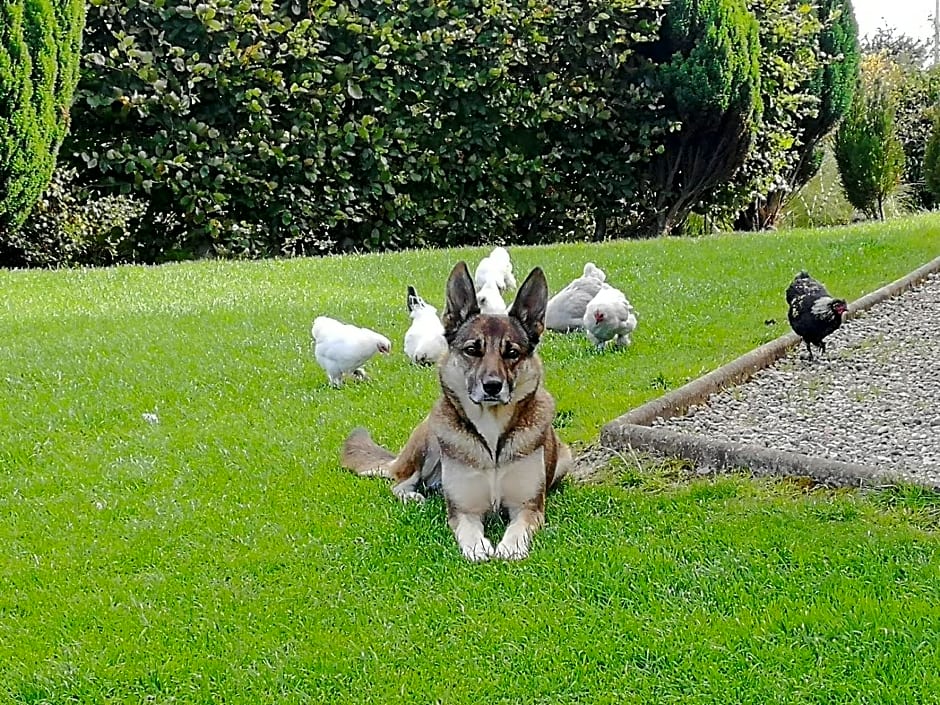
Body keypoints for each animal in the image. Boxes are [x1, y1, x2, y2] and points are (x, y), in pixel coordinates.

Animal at [342, 261, 571, 561]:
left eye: (512, 352)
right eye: (472, 350)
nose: (493, 386)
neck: (491, 435)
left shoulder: (528, 507)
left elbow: (517, 529)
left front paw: (510, 547)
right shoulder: (464, 511)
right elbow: (469, 532)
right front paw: (477, 547)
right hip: (428, 440)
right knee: (400, 482)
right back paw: (414, 495)